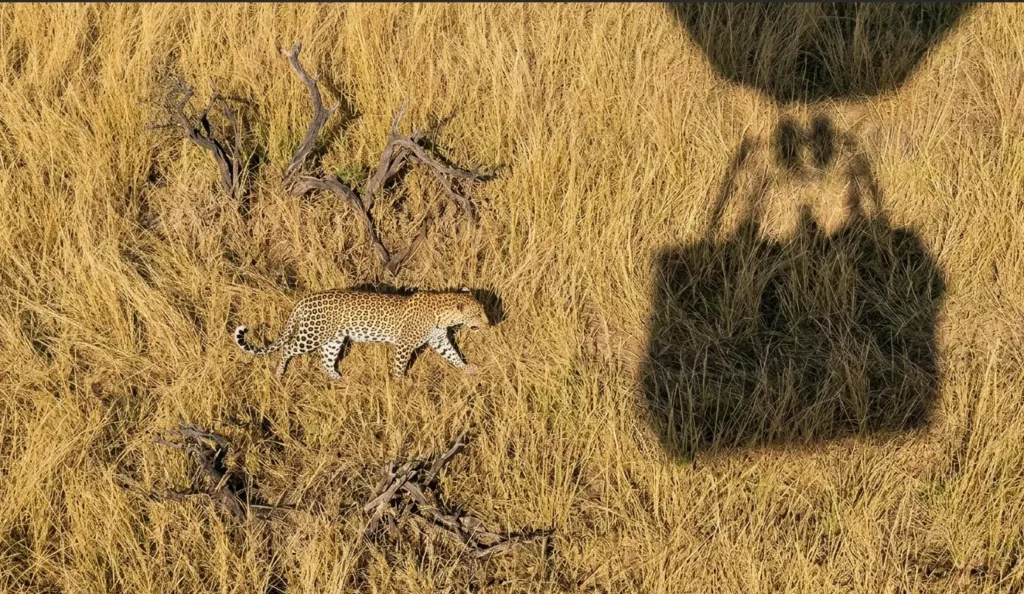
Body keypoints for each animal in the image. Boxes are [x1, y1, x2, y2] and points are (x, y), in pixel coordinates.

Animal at [233, 288, 489, 381]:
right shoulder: (404, 345)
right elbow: (399, 365)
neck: (442, 313)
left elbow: (452, 354)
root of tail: (305, 299)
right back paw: (279, 372)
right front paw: (400, 383)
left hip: (334, 339)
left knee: (326, 361)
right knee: (288, 348)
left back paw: (339, 379)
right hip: (313, 333)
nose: (488, 324)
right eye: (478, 313)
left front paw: (467, 368)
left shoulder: (438, 340)